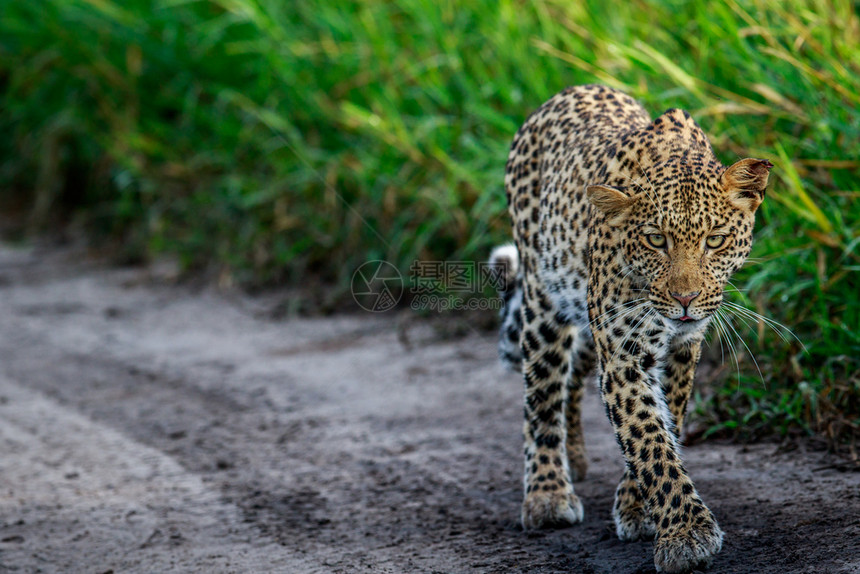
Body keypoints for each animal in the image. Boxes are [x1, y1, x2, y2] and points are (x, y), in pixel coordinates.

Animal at [490, 83, 772, 572]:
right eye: (655, 240)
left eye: (715, 240)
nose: (685, 299)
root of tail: (571, 89)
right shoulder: (624, 352)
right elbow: (647, 438)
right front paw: (686, 534)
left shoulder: (682, 347)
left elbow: (664, 423)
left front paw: (637, 506)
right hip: (544, 301)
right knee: (542, 393)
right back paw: (548, 493)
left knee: (572, 379)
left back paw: (576, 457)